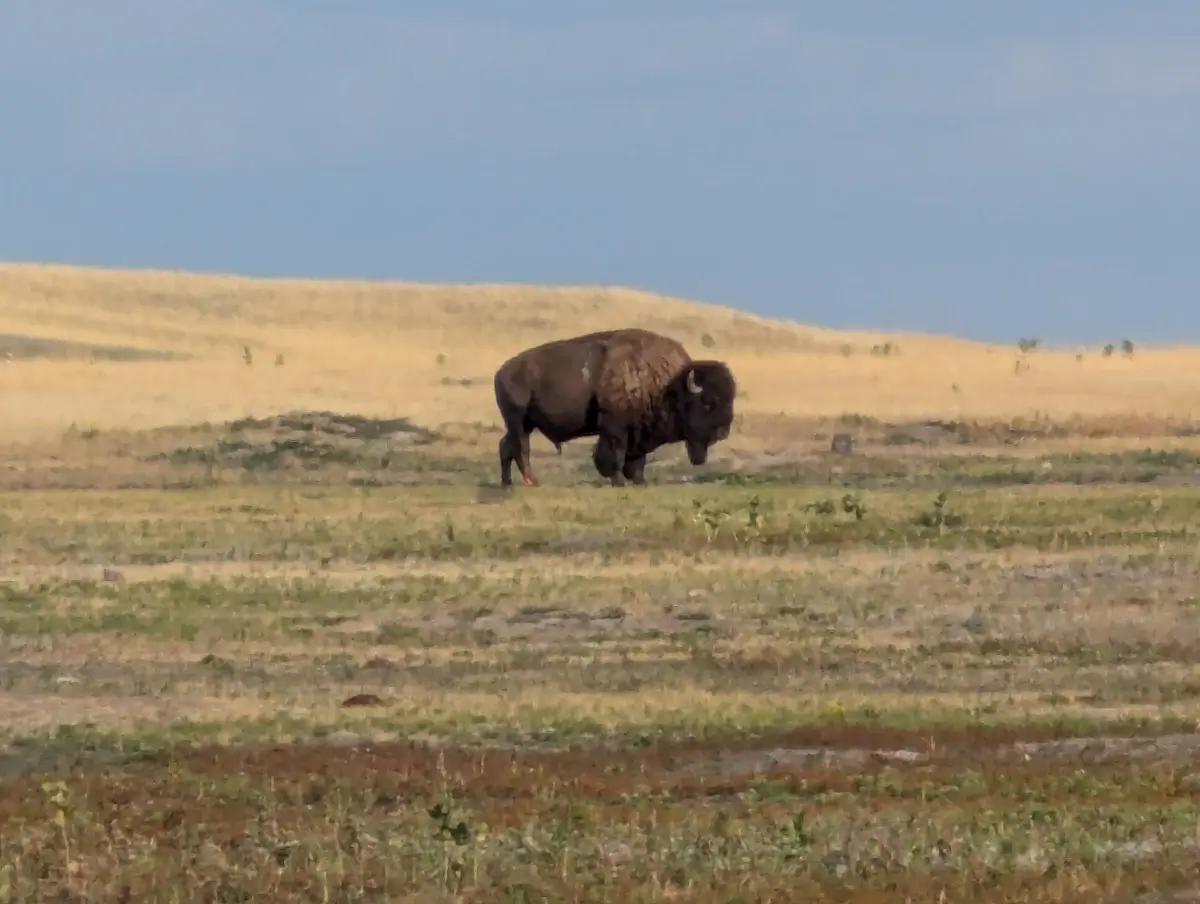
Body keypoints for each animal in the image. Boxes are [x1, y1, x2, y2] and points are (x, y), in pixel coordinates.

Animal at [492, 327, 738, 487]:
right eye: (708, 402)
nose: (723, 431)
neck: (668, 384)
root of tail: (501, 372)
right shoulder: (614, 429)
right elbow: (614, 455)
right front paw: (618, 481)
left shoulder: (639, 433)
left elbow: (637, 460)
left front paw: (640, 481)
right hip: (518, 422)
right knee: (521, 448)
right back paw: (530, 481)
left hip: (525, 424)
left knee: (506, 447)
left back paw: (507, 482)